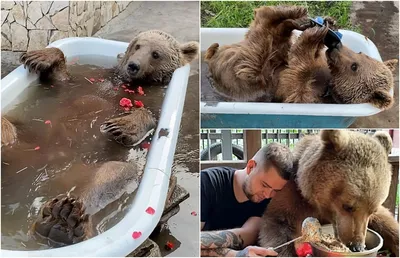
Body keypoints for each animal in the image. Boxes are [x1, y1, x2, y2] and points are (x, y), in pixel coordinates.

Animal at [205, 5, 398, 108]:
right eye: (361, 53)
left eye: (354, 67)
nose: (337, 46)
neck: (330, 84)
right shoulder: (320, 63)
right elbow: (306, 57)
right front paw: (328, 25)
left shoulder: (308, 97)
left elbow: (295, 81)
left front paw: (314, 34)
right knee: (276, 38)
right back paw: (293, 16)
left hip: (246, 79)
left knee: (259, 46)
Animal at [258, 130, 398, 256]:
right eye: (348, 206)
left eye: (372, 210)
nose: (356, 246)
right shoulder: (293, 197)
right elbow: (277, 226)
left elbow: (386, 222)